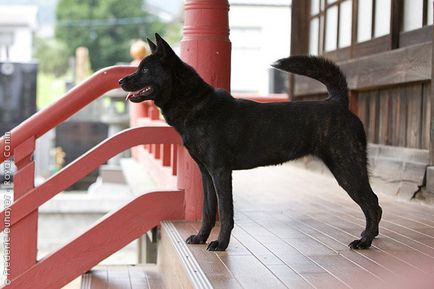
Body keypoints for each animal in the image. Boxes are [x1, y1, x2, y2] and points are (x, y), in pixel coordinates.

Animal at [119, 33, 384, 250]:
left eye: (145, 70)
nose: (121, 81)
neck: (196, 104)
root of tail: (337, 102)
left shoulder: (221, 171)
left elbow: (226, 212)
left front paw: (220, 244)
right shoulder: (206, 173)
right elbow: (208, 210)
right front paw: (201, 238)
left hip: (347, 168)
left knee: (373, 203)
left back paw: (364, 241)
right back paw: (369, 237)